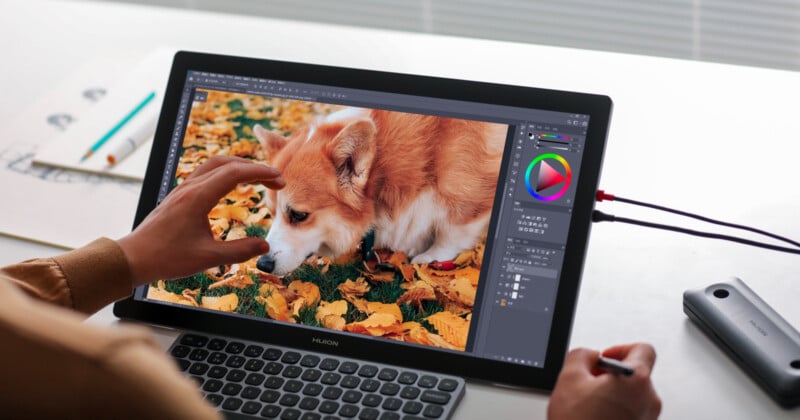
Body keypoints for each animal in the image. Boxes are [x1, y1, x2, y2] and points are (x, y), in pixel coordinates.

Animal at [253, 108, 506, 276]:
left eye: (299, 215)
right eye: (271, 213)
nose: (261, 265)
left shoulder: (470, 193)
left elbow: (451, 232)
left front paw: (431, 256)